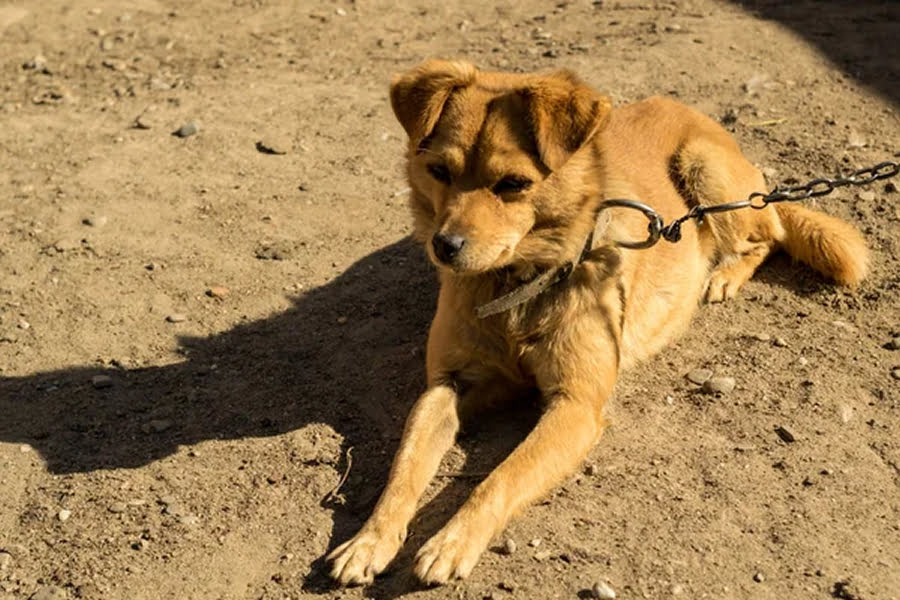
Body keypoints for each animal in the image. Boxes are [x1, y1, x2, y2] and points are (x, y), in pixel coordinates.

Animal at [327, 60, 868, 586]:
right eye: (438, 170)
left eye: (513, 184)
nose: (445, 246)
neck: (519, 283)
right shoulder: (449, 385)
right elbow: (404, 467)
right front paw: (370, 540)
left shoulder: (576, 405)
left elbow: (501, 476)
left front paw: (453, 542)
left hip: (708, 173)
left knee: (767, 235)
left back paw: (724, 275)